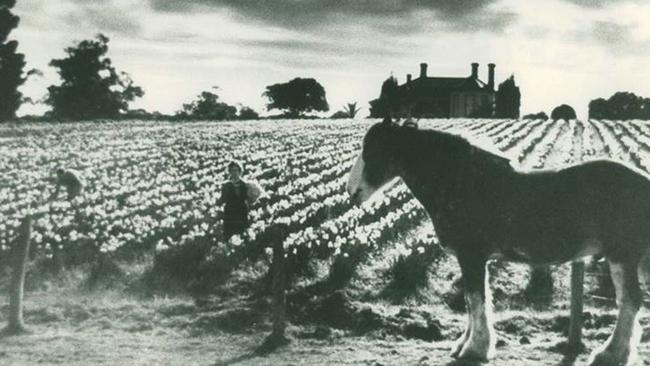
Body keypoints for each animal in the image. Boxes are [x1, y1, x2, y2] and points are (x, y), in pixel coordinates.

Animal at [346, 118, 648, 364]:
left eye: (372, 149)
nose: (351, 192)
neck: (463, 182)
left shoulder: (472, 255)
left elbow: (475, 298)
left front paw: (475, 349)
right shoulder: (474, 259)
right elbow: (472, 300)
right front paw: (464, 345)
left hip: (621, 255)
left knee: (630, 300)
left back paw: (610, 353)